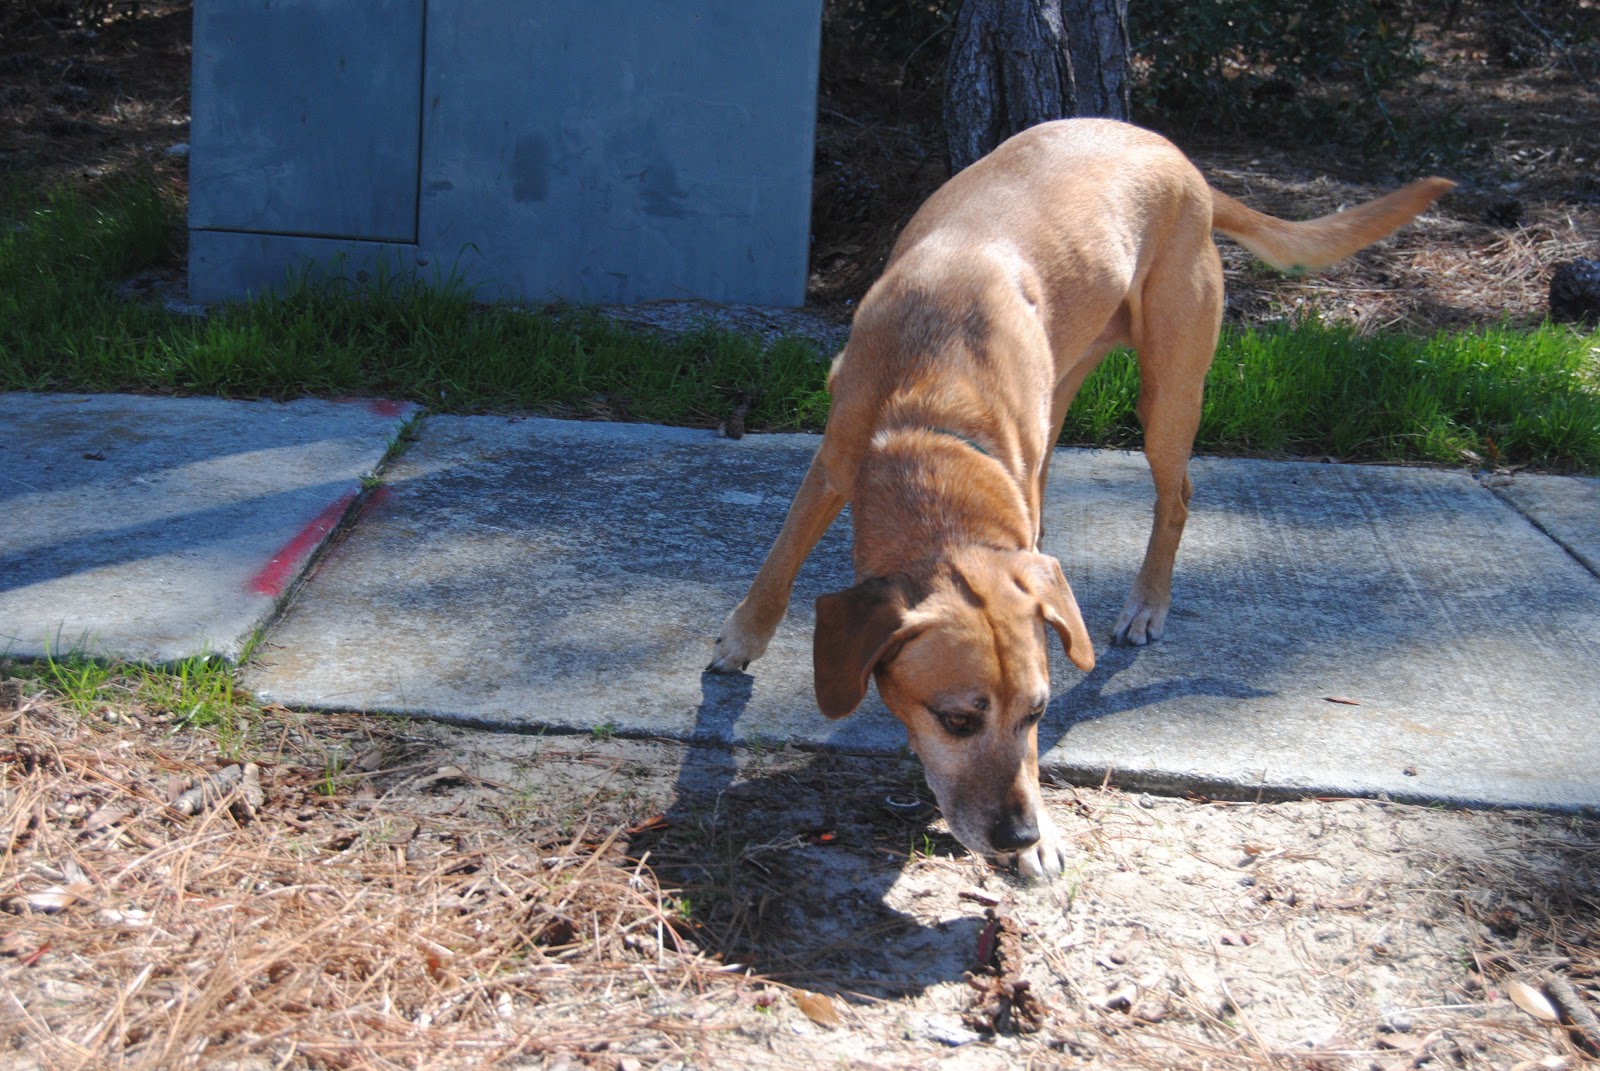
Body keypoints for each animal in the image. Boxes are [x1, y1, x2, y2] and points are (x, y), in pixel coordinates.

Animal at [708, 118, 1452, 878]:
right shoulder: (835, 459)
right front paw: (742, 637)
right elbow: (780, 557)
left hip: (1168, 390)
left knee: (1177, 494)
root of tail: (1177, 158)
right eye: (957, 719)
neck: (932, 410)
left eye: (1038, 713)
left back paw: (1147, 603)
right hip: (1069, 385)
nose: (1018, 834)